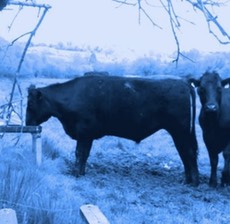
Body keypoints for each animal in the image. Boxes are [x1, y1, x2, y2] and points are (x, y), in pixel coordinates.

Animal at [26, 75, 199, 186]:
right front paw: (81, 173)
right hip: (180, 133)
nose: (27, 123)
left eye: (31, 104)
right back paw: (187, 180)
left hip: (180, 131)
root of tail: (183, 82)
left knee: (188, 153)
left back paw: (193, 183)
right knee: (184, 153)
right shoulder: (87, 136)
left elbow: (79, 154)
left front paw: (76, 174)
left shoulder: (84, 134)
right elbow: (84, 155)